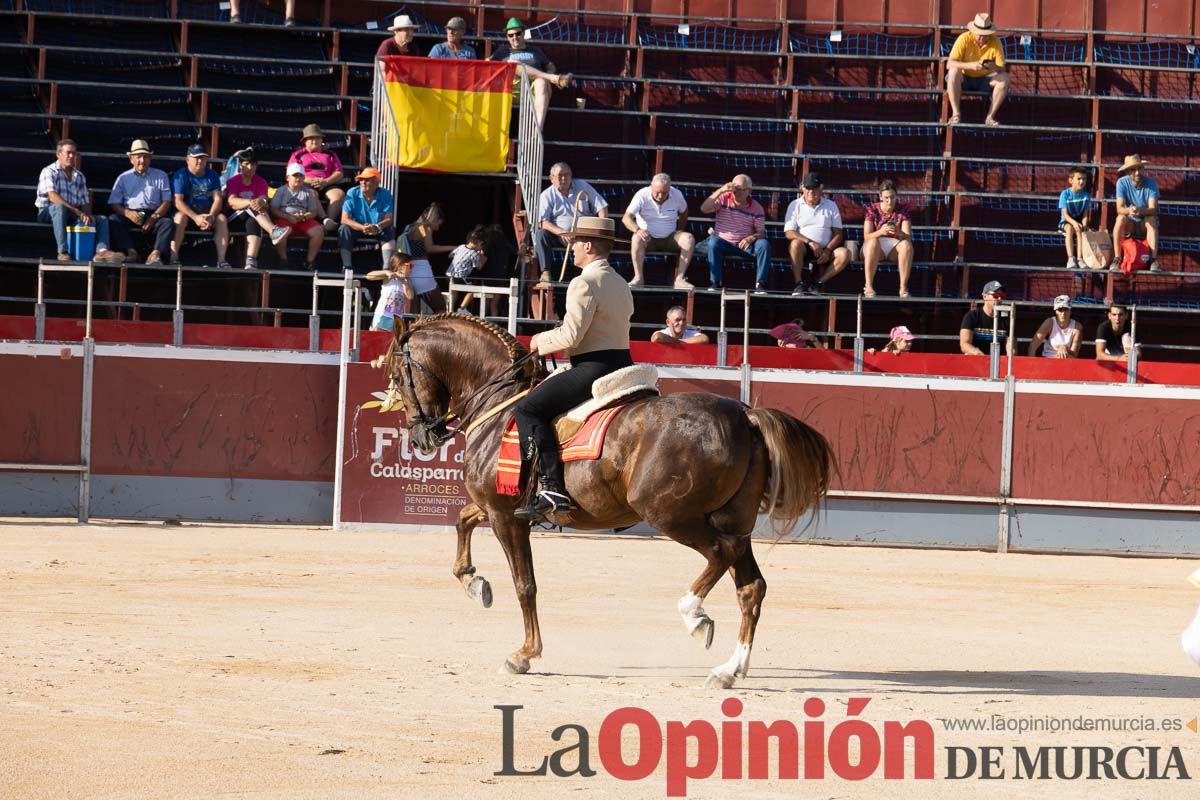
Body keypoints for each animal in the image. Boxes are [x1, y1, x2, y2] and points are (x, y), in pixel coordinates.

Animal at [388, 311, 830, 690]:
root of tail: (743, 414)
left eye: (397, 373)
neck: (501, 407)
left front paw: (525, 653)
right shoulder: (500, 507)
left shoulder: (505, 516)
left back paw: (694, 615)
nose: (421, 437)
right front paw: (473, 582)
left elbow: (525, 584)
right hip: (732, 520)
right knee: (750, 586)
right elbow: (462, 520)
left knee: (720, 554)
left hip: (671, 515)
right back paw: (728, 670)